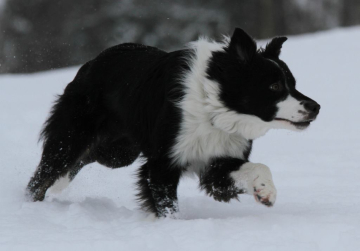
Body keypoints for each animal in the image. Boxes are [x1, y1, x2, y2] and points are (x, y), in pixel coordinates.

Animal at [27, 28, 320, 218]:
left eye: (292, 83)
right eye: (274, 86)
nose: (316, 107)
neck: (214, 105)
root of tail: (91, 63)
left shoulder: (217, 162)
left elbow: (258, 167)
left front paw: (265, 191)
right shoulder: (162, 163)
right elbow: (166, 205)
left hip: (118, 152)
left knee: (80, 162)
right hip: (72, 138)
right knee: (44, 175)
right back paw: (31, 206)